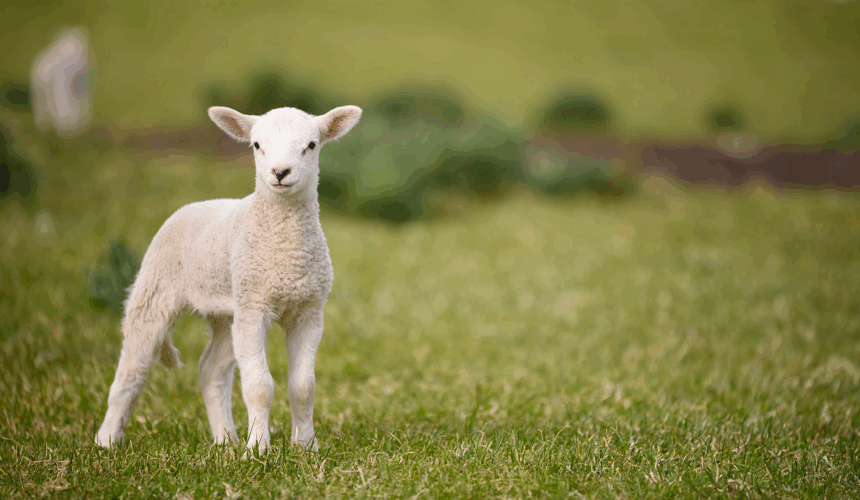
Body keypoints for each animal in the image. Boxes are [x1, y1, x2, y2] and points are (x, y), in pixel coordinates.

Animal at [95, 104, 362, 453]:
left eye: (311, 145)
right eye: (257, 145)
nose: (280, 172)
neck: (286, 252)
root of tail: (199, 204)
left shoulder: (308, 311)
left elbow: (303, 387)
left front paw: (305, 447)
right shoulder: (254, 306)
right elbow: (259, 386)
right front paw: (258, 450)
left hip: (227, 312)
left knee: (211, 370)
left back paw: (225, 439)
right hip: (156, 287)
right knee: (132, 369)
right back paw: (107, 440)